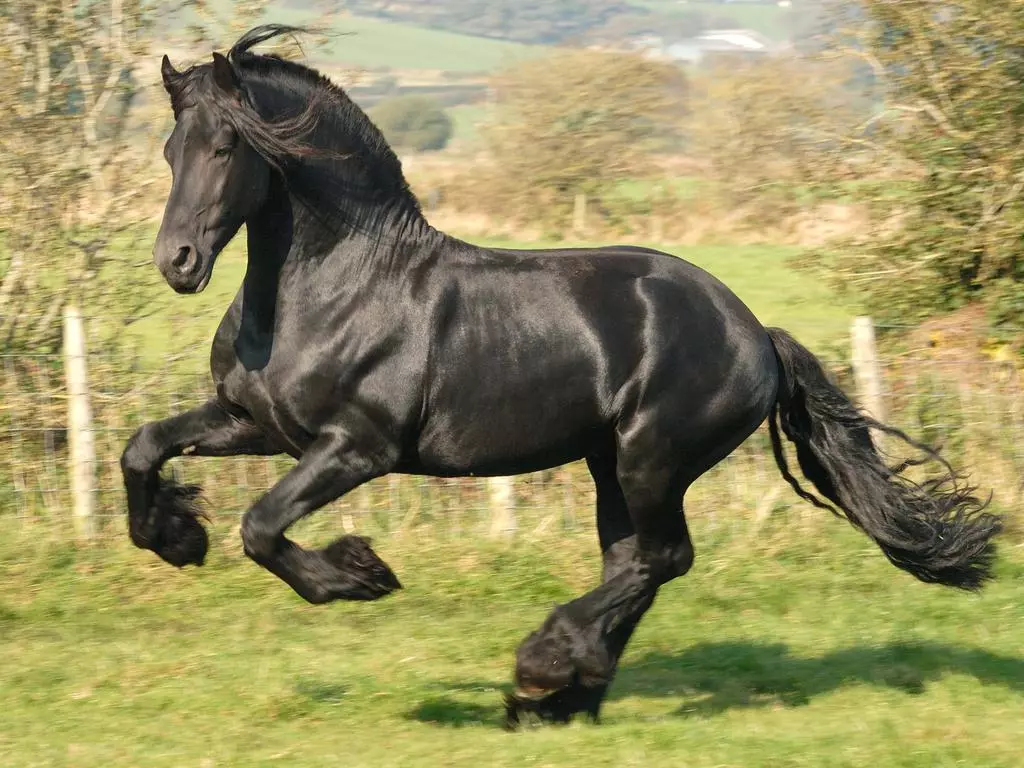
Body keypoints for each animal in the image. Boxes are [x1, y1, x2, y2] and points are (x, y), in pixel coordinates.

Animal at [121, 25, 1002, 728]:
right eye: (169, 150)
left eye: (226, 148)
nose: (177, 263)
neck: (337, 284)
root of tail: (756, 332)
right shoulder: (257, 424)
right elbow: (143, 447)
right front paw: (175, 537)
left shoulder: (356, 447)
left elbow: (263, 526)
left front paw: (359, 575)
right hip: (608, 461)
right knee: (635, 563)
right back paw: (563, 696)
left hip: (653, 457)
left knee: (661, 558)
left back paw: (543, 667)